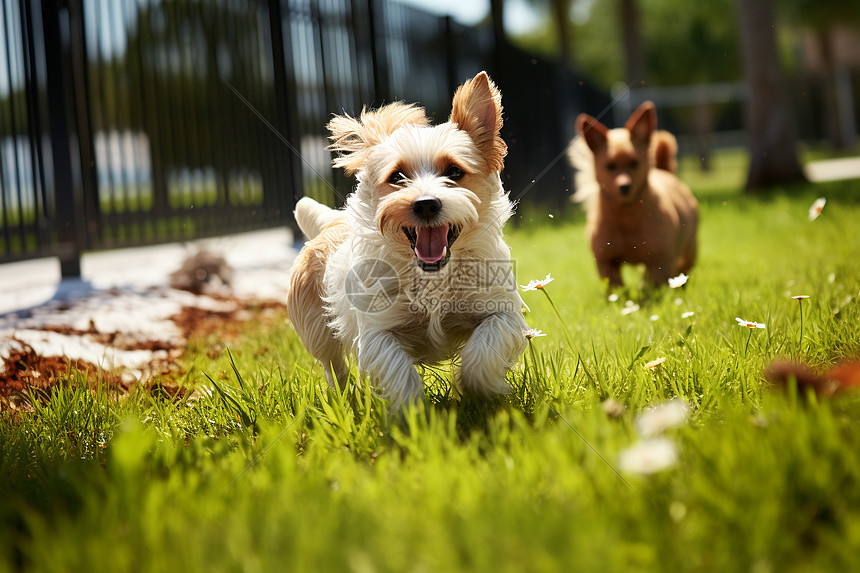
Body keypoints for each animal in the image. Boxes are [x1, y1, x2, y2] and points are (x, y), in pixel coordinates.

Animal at [288, 72, 528, 406]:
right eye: (397, 177)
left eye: (454, 171)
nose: (426, 203)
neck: (433, 278)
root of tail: (332, 220)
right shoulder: (377, 333)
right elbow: (398, 370)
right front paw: (413, 411)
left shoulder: (502, 313)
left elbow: (483, 351)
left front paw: (485, 390)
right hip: (317, 331)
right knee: (333, 366)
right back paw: (343, 400)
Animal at [572, 101, 700, 288]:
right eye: (610, 166)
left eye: (634, 163)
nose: (624, 186)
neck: (626, 218)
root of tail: (664, 171)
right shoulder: (606, 263)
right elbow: (617, 289)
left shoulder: (660, 263)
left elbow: (655, 288)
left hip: (688, 253)